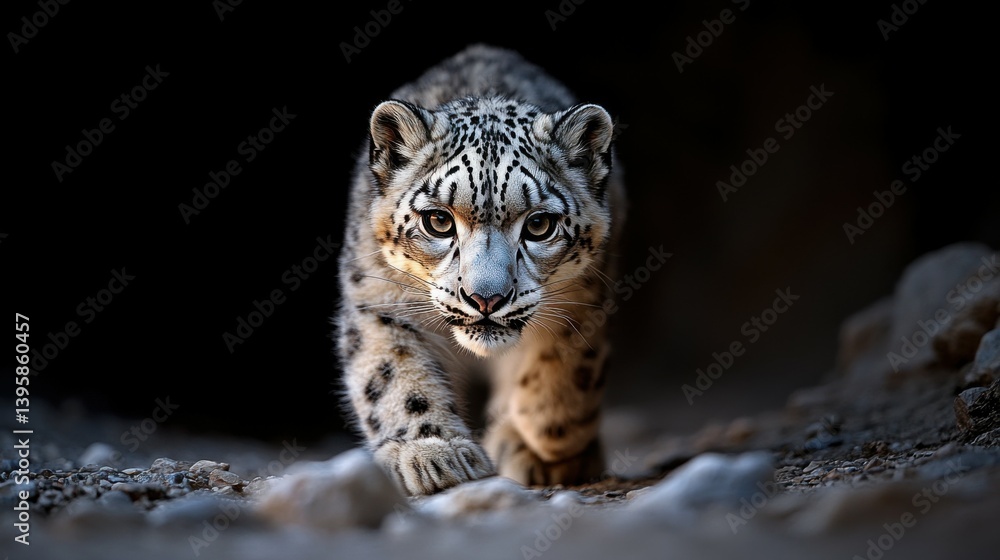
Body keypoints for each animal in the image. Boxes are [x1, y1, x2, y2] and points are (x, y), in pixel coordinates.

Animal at [334, 44, 626, 496]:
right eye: (438, 221)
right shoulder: (378, 300)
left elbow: (565, 370)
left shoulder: (584, 299)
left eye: (539, 225)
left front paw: (540, 434)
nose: (485, 298)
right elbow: (393, 371)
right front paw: (432, 454)